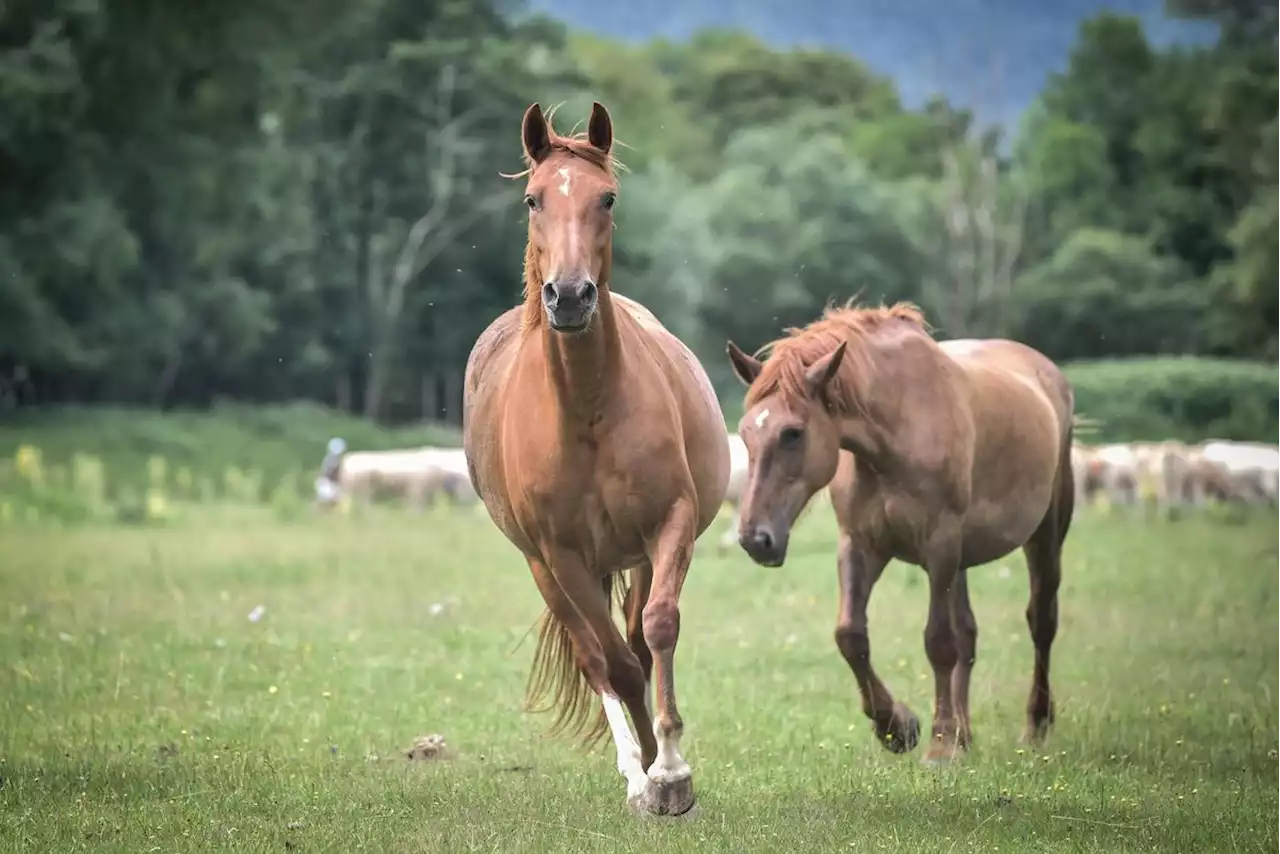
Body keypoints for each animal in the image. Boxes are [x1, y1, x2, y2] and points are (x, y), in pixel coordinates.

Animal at [463, 103, 732, 819]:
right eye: (533, 199)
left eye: (606, 198)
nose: (570, 296)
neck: (587, 409)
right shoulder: (562, 555)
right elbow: (615, 664)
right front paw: (652, 777)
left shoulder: (669, 523)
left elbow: (658, 631)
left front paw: (673, 768)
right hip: (544, 569)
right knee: (597, 655)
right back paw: (636, 769)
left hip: (632, 556)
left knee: (639, 636)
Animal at [727, 300, 1075, 763]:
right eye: (746, 432)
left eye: (792, 433)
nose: (755, 539)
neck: (895, 433)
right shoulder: (860, 546)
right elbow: (851, 636)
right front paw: (898, 727)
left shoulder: (939, 546)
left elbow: (939, 642)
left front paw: (939, 746)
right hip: (961, 560)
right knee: (969, 633)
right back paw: (965, 736)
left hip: (1045, 535)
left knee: (1041, 622)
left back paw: (1033, 725)